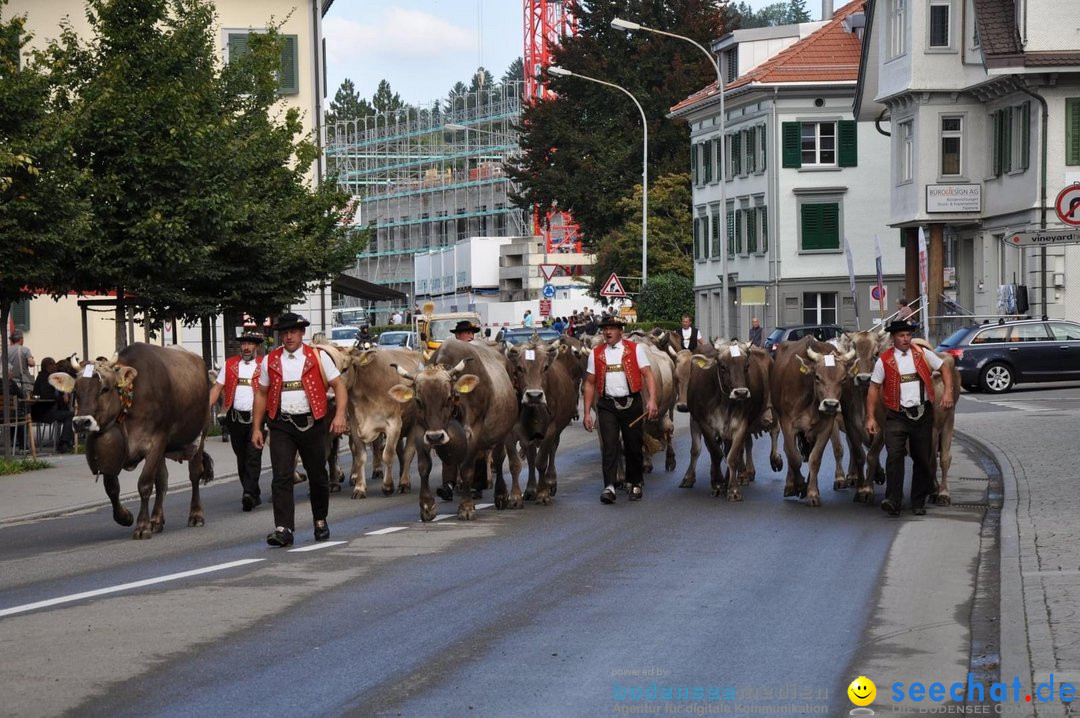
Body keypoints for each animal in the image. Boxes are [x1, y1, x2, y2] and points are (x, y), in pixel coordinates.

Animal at [50, 343, 214, 537]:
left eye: (105, 389)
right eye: (76, 391)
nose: (81, 422)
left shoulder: (157, 441)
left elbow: (144, 484)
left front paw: (142, 526)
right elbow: (112, 487)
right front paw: (125, 516)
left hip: (201, 431)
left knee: (195, 474)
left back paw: (196, 515)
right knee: (162, 481)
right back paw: (156, 520)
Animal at [393, 339, 518, 518]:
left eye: (448, 397)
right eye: (418, 400)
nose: (435, 437)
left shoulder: (474, 430)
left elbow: (467, 469)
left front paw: (466, 507)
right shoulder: (420, 430)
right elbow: (424, 466)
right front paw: (427, 506)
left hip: (502, 431)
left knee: (499, 459)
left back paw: (500, 494)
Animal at [503, 339, 574, 500]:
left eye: (545, 367)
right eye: (519, 368)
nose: (534, 396)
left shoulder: (550, 430)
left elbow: (541, 461)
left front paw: (542, 492)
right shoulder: (511, 432)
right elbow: (515, 464)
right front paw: (515, 496)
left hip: (556, 431)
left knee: (552, 451)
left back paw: (550, 482)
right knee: (530, 458)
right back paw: (530, 489)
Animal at [773, 339, 855, 507]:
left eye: (843, 379)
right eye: (817, 377)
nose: (831, 405)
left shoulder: (826, 427)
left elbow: (815, 459)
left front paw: (812, 492)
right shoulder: (788, 425)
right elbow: (794, 457)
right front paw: (798, 486)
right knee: (788, 451)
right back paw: (790, 485)